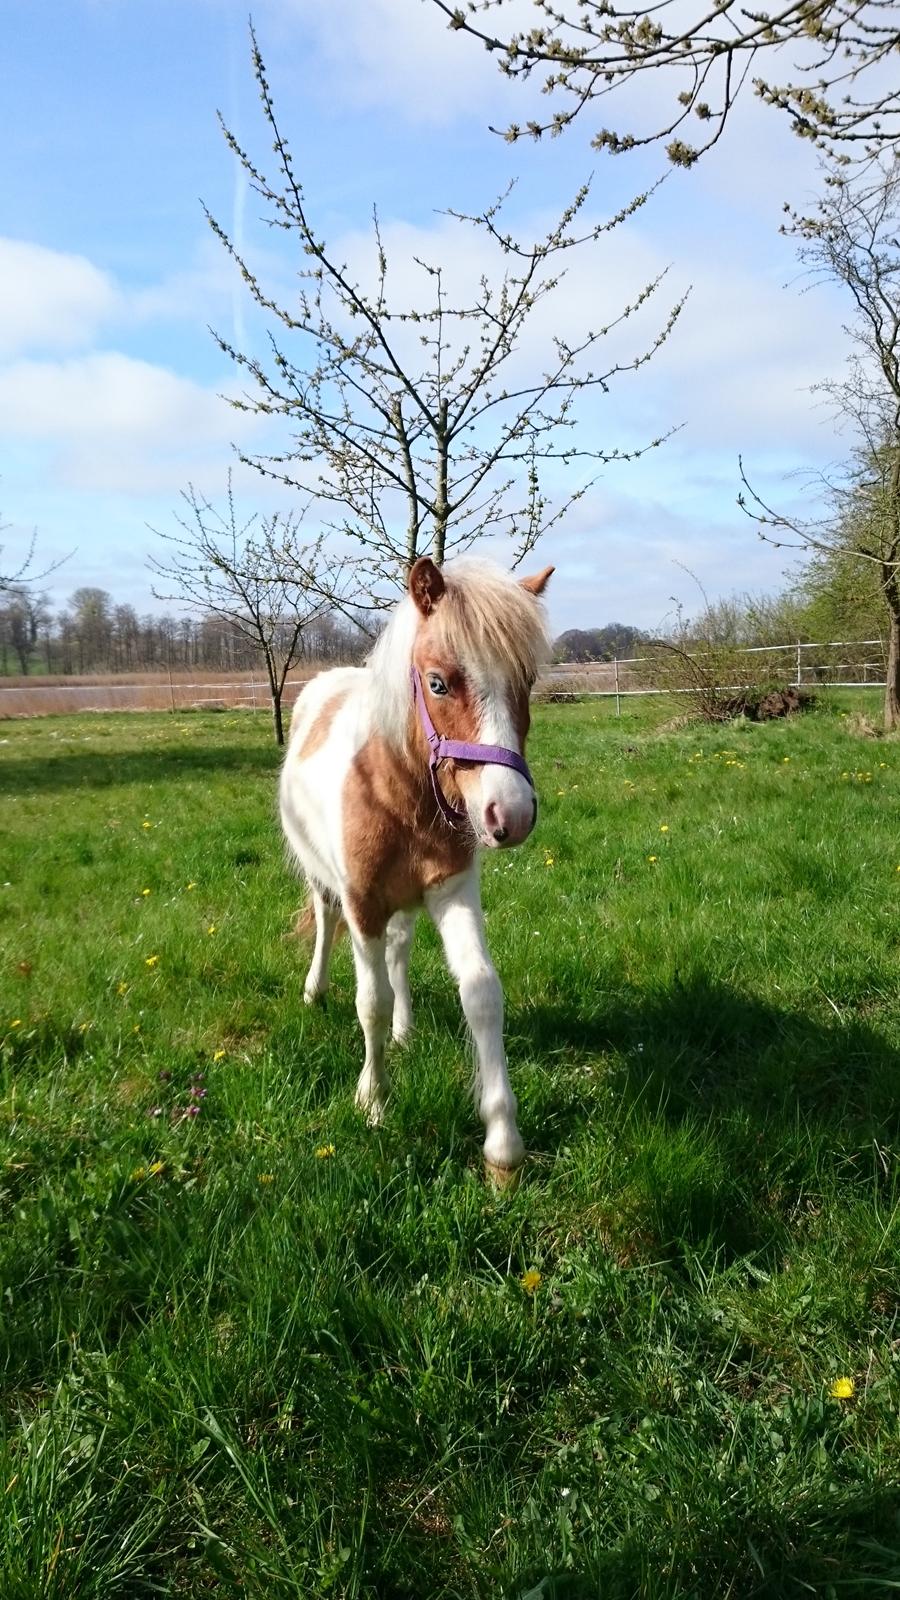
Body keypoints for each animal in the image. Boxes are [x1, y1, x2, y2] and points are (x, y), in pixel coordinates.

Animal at [277, 556, 550, 1184]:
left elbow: (480, 992)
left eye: (526, 681)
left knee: (400, 949)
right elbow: (369, 1003)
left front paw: (502, 1145)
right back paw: (315, 991)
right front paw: (373, 1101)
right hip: (326, 882)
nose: (512, 814)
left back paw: (406, 1031)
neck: (396, 793)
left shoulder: (452, 891)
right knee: (325, 925)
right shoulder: (362, 905)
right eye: (438, 682)